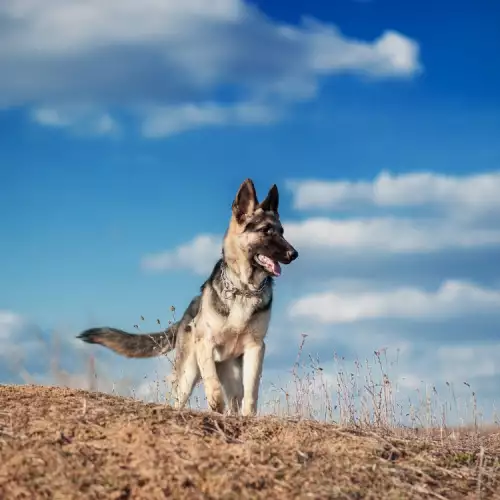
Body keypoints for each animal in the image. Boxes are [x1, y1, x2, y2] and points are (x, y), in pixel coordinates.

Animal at [76, 178, 298, 416]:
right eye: (266, 231)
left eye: (282, 231)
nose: (294, 254)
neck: (242, 289)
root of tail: (186, 314)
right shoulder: (205, 342)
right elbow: (211, 379)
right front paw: (214, 401)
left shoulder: (255, 348)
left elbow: (252, 390)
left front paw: (248, 416)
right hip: (187, 374)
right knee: (183, 396)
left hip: (231, 375)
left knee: (236, 399)